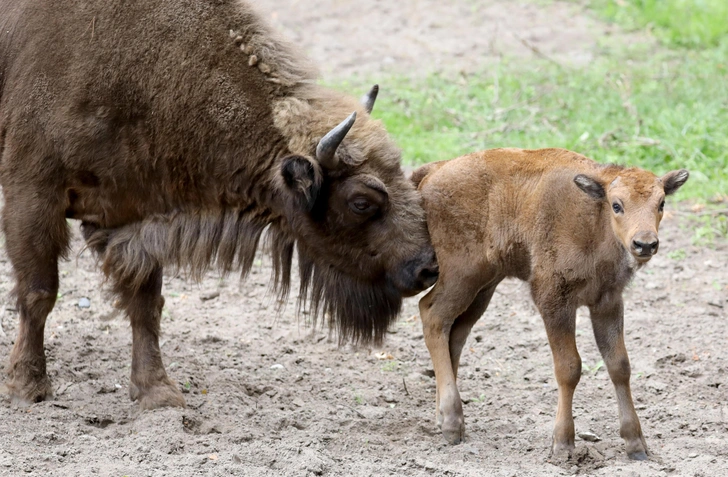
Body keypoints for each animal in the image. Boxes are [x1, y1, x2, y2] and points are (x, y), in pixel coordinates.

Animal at [0, 0, 438, 410]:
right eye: (361, 201)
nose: (427, 268)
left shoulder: (132, 214)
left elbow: (145, 303)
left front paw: (157, 392)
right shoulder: (31, 194)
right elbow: (40, 292)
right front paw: (27, 386)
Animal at [416, 148, 688, 458]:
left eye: (661, 203)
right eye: (617, 205)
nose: (644, 244)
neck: (595, 219)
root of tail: (435, 170)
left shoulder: (607, 302)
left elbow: (619, 365)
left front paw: (635, 444)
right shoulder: (554, 300)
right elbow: (569, 368)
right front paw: (563, 443)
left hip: (483, 287)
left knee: (455, 334)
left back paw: (445, 418)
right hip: (462, 276)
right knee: (432, 314)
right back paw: (452, 423)